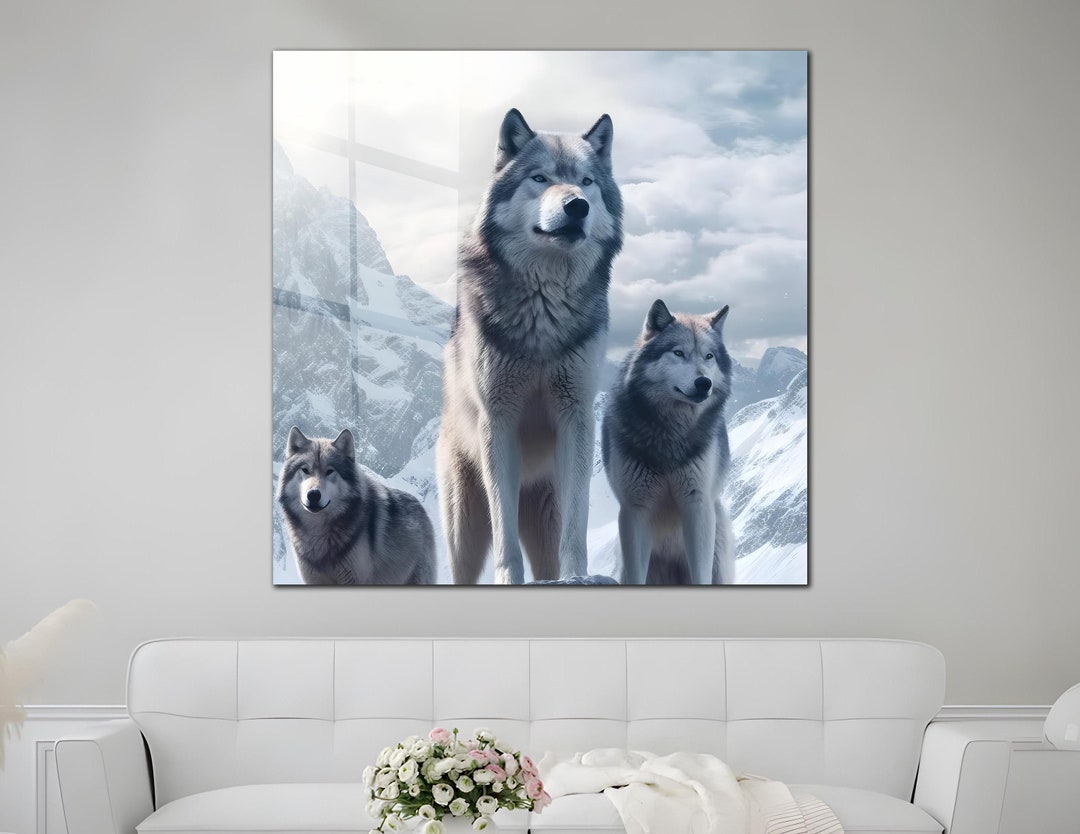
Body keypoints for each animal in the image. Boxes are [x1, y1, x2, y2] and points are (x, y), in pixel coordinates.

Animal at [437, 108, 624, 584]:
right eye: (540, 178)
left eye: (586, 181)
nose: (577, 204)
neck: (543, 310)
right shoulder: (498, 421)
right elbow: (504, 533)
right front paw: (507, 580)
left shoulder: (577, 416)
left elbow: (577, 524)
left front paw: (578, 576)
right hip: (464, 527)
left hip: (544, 517)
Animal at [601, 300, 736, 585]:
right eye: (678, 353)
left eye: (709, 356)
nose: (704, 382)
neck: (670, 435)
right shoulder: (635, 511)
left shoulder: (697, 506)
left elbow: (700, 575)